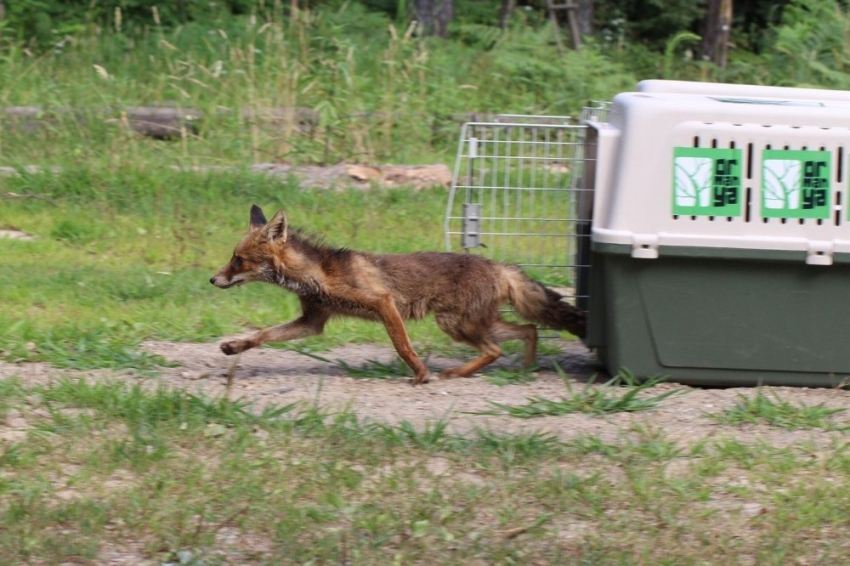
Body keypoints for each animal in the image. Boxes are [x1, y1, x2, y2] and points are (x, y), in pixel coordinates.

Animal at [210, 205, 584, 386]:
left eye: (238, 259)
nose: (212, 279)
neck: (318, 275)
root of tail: (499, 265)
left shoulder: (382, 303)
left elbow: (403, 347)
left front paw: (421, 375)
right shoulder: (312, 321)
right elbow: (262, 334)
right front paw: (235, 347)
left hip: (455, 324)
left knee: (497, 348)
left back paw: (458, 373)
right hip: (475, 323)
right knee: (528, 331)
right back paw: (523, 369)